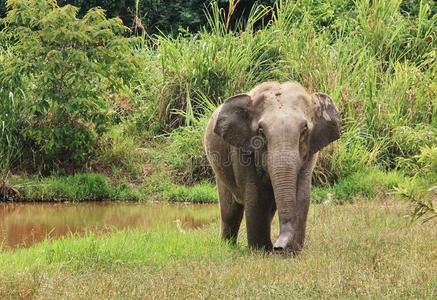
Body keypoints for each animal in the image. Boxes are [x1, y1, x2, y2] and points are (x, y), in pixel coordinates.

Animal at [204, 80, 340, 253]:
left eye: (304, 129)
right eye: (261, 131)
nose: (279, 247)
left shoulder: (310, 153)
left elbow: (302, 195)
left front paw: (292, 252)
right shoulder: (241, 152)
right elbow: (255, 196)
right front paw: (260, 251)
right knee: (230, 211)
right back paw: (229, 246)